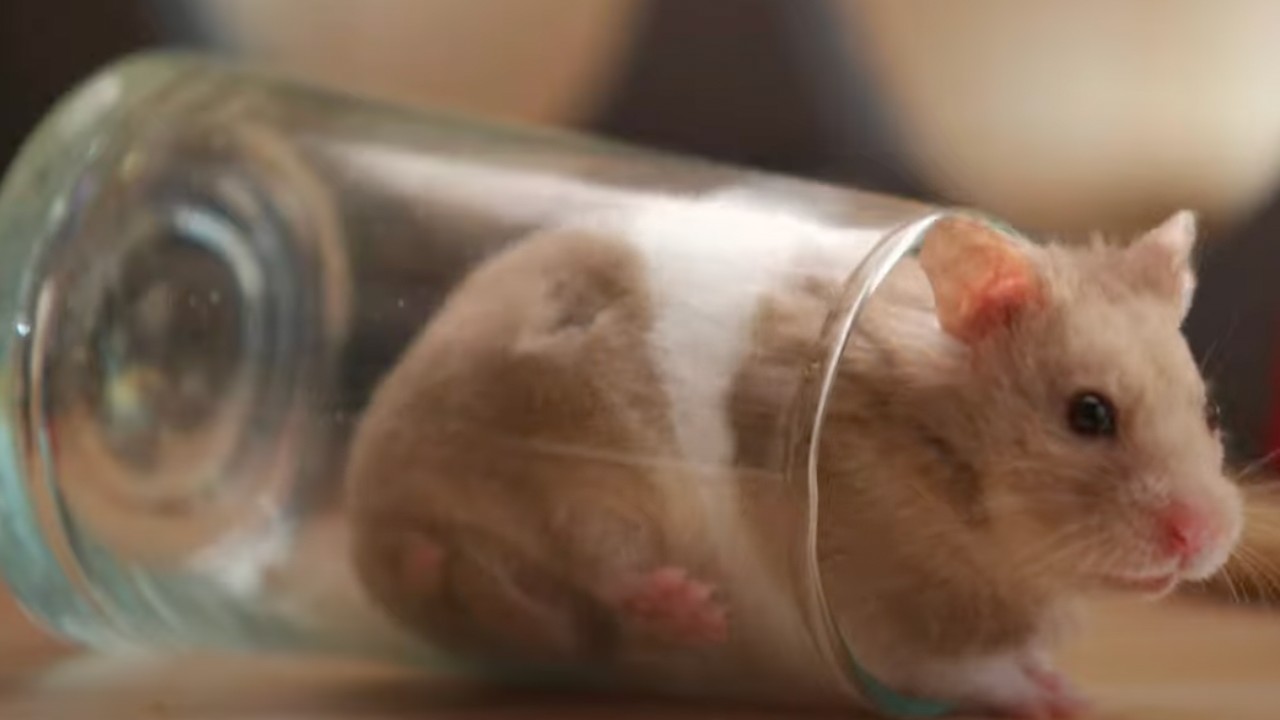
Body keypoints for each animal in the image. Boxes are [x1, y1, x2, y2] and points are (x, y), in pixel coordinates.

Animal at [343, 192, 1239, 717]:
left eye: (1205, 409)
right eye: (1088, 415)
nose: (1203, 537)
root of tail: (378, 527)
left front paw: (1069, 684)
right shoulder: (890, 625)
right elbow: (973, 672)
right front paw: (1063, 702)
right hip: (573, 456)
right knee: (598, 559)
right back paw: (691, 610)